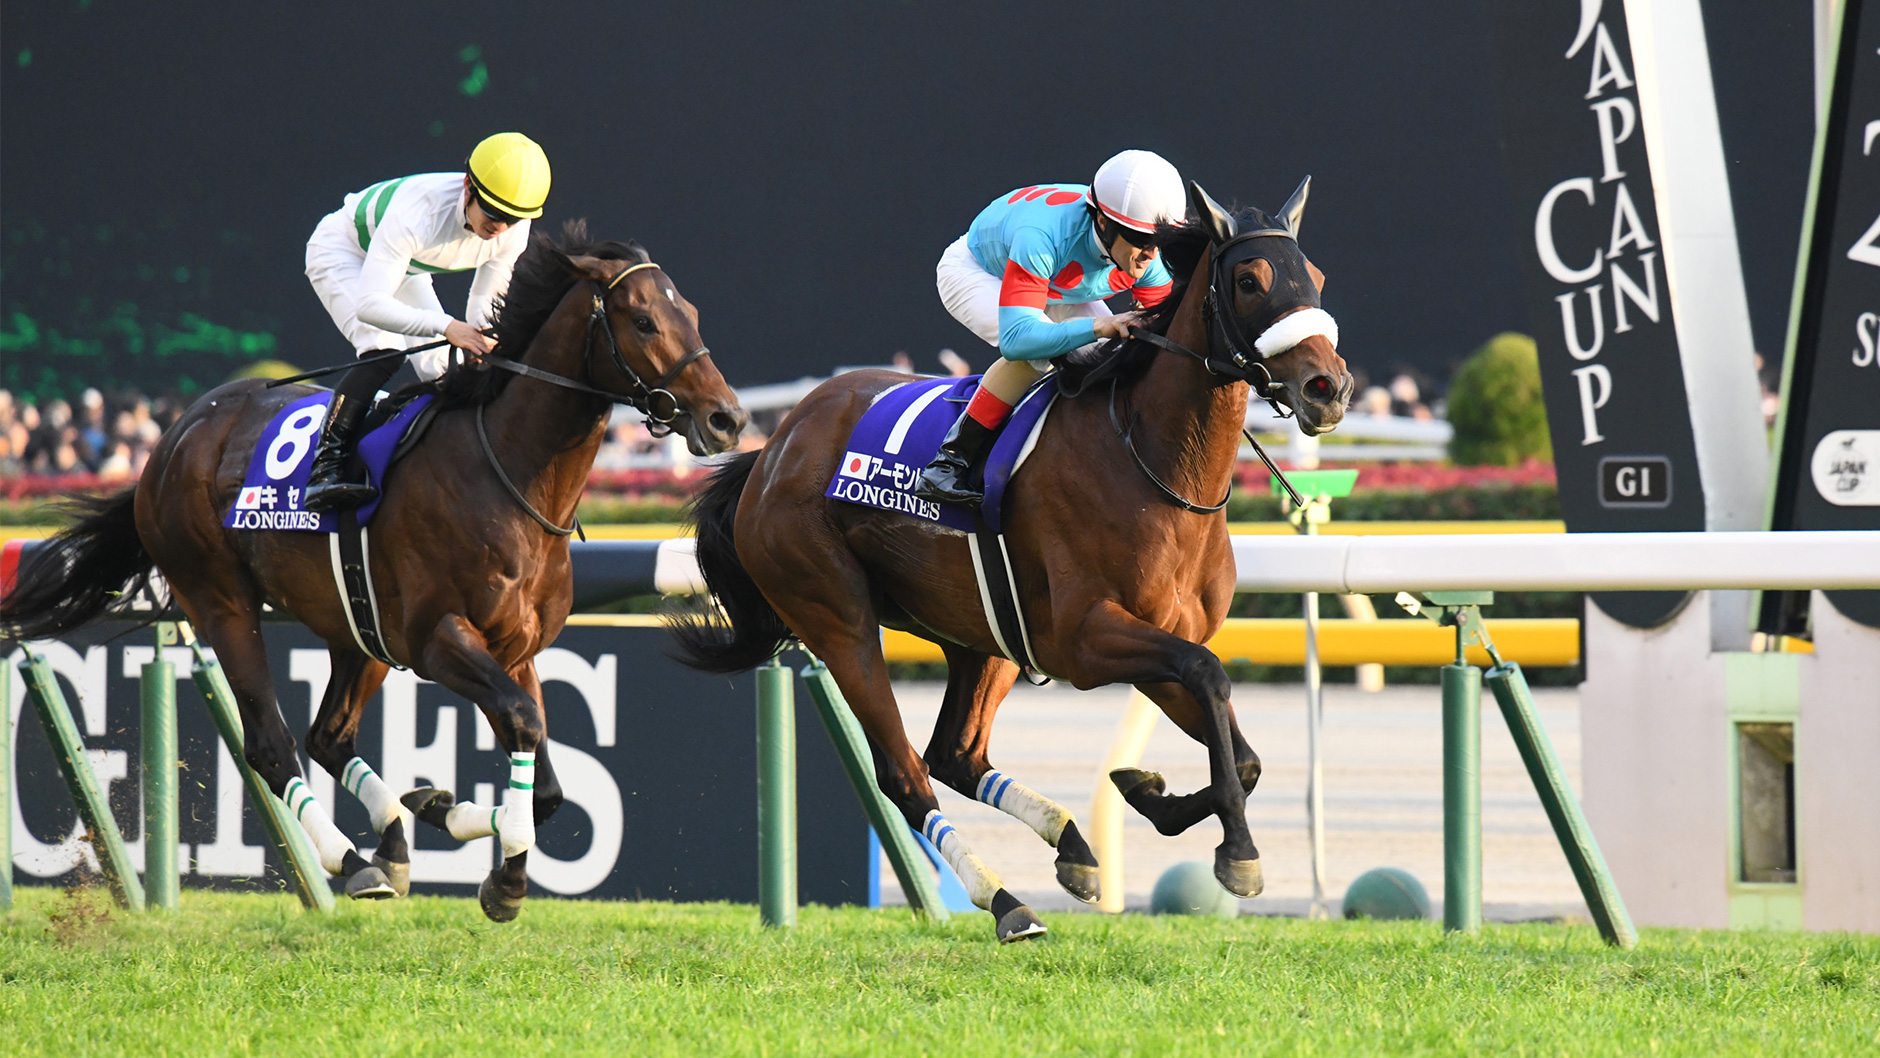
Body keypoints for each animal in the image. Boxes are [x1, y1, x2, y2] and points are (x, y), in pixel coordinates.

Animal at [2, 221, 747, 921]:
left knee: (328, 735)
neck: (507, 474)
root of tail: (173, 439)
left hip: (357, 630)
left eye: (692, 314)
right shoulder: (438, 638)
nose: (728, 418)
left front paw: (452, 811)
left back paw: (397, 832)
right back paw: (354, 861)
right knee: (272, 744)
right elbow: (520, 724)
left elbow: (545, 777)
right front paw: (503, 877)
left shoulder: (516, 646)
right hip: (221, 599)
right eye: (643, 320)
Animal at [671, 178, 1351, 942]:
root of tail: (774, 447)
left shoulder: (1156, 643)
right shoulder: (1089, 639)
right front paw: (1234, 851)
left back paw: (1071, 845)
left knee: (956, 754)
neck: (1151, 464)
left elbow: (1245, 750)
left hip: (982, 633)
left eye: (1315, 277)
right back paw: (1006, 901)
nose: (1328, 386)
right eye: (1249, 279)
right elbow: (1210, 679)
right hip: (836, 617)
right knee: (905, 773)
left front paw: (1149, 792)